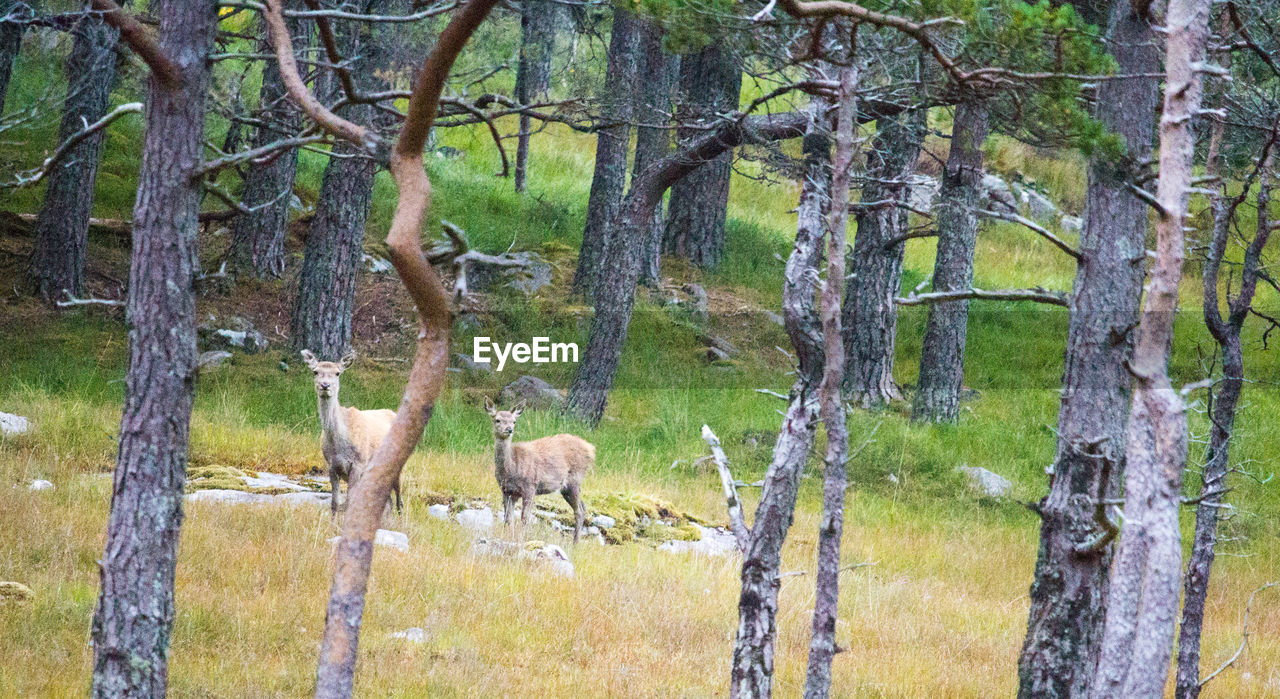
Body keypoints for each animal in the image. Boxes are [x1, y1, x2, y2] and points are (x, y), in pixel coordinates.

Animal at [299, 348, 399, 512]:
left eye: (337, 373)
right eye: (315, 371)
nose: (325, 385)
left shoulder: (358, 464)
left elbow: (350, 502)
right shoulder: (332, 466)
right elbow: (334, 503)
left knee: (399, 501)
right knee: (388, 501)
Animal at [483, 396, 593, 537]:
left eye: (514, 421)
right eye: (497, 419)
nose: (509, 429)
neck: (510, 469)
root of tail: (591, 449)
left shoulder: (530, 486)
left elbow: (525, 518)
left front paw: (523, 537)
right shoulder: (507, 490)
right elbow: (508, 519)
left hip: (575, 479)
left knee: (579, 511)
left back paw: (575, 542)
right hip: (566, 488)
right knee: (583, 507)